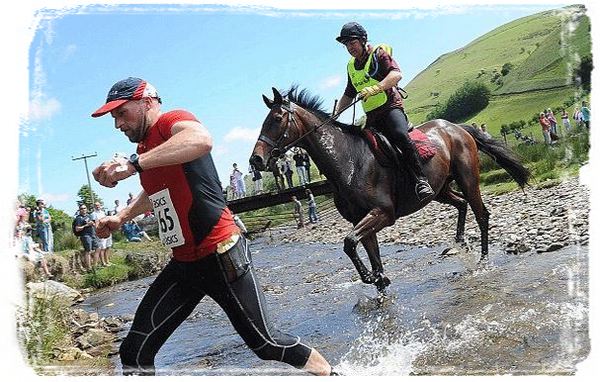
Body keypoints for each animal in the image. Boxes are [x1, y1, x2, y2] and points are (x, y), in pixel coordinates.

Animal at [248, 86, 528, 292]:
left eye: (276, 119)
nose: (256, 161)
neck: (349, 162)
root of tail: (457, 127)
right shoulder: (361, 219)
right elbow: (369, 254)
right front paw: (379, 280)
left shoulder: (383, 213)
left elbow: (349, 242)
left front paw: (370, 277)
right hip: (440, 190)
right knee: (460, 203)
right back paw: (459, 241)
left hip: (468, 179)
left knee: (481, 214)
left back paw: (483, 260)